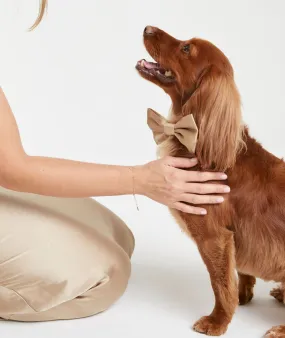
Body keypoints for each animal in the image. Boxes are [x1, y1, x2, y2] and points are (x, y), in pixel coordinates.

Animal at [135, 25, 284, 336]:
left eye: (186, 49)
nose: (147, 28)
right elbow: (240, 273)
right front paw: (243, 296)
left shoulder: (214, 236)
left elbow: (221, 284)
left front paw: (217, 321)